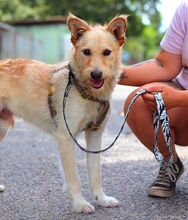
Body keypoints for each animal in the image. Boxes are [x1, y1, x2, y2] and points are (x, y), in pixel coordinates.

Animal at [0, 14, 128, 213]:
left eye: (107, 52)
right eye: (86, 52)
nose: (96, 75)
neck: (84, 91)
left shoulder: (95, 135)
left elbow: (96, 174)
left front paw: (102, 199)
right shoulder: (65, 138)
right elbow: (74, 179)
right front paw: (80, 204)